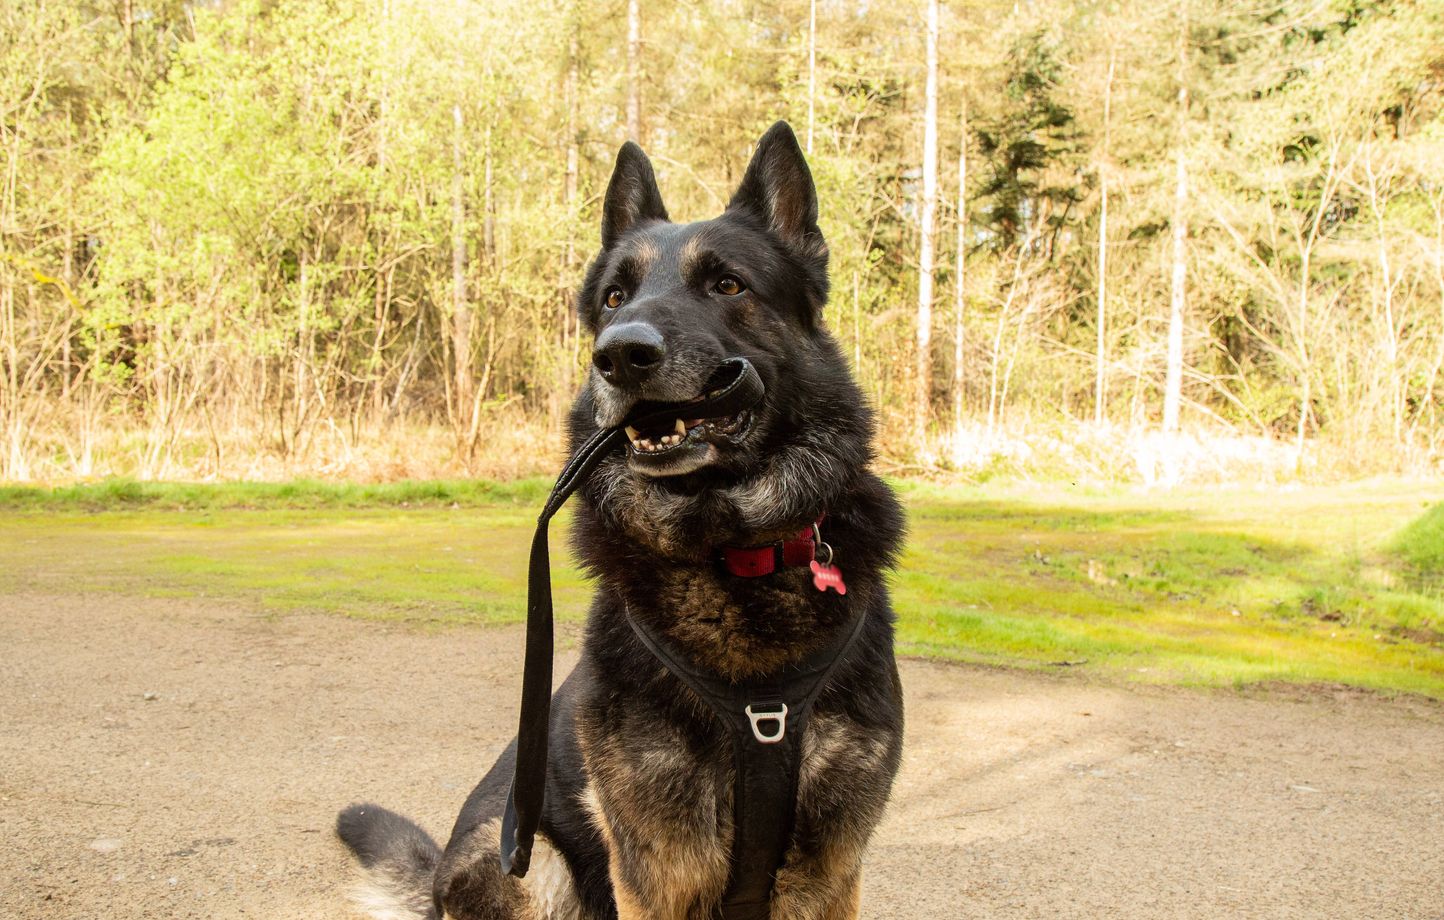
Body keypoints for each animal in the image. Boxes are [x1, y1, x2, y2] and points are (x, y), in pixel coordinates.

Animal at [336, 122, 901, 918]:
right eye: (613, 297)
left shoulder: (830, 871)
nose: (621, 355)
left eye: (728, 285)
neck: (731, 556)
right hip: (530, 860)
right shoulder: (656, 871)